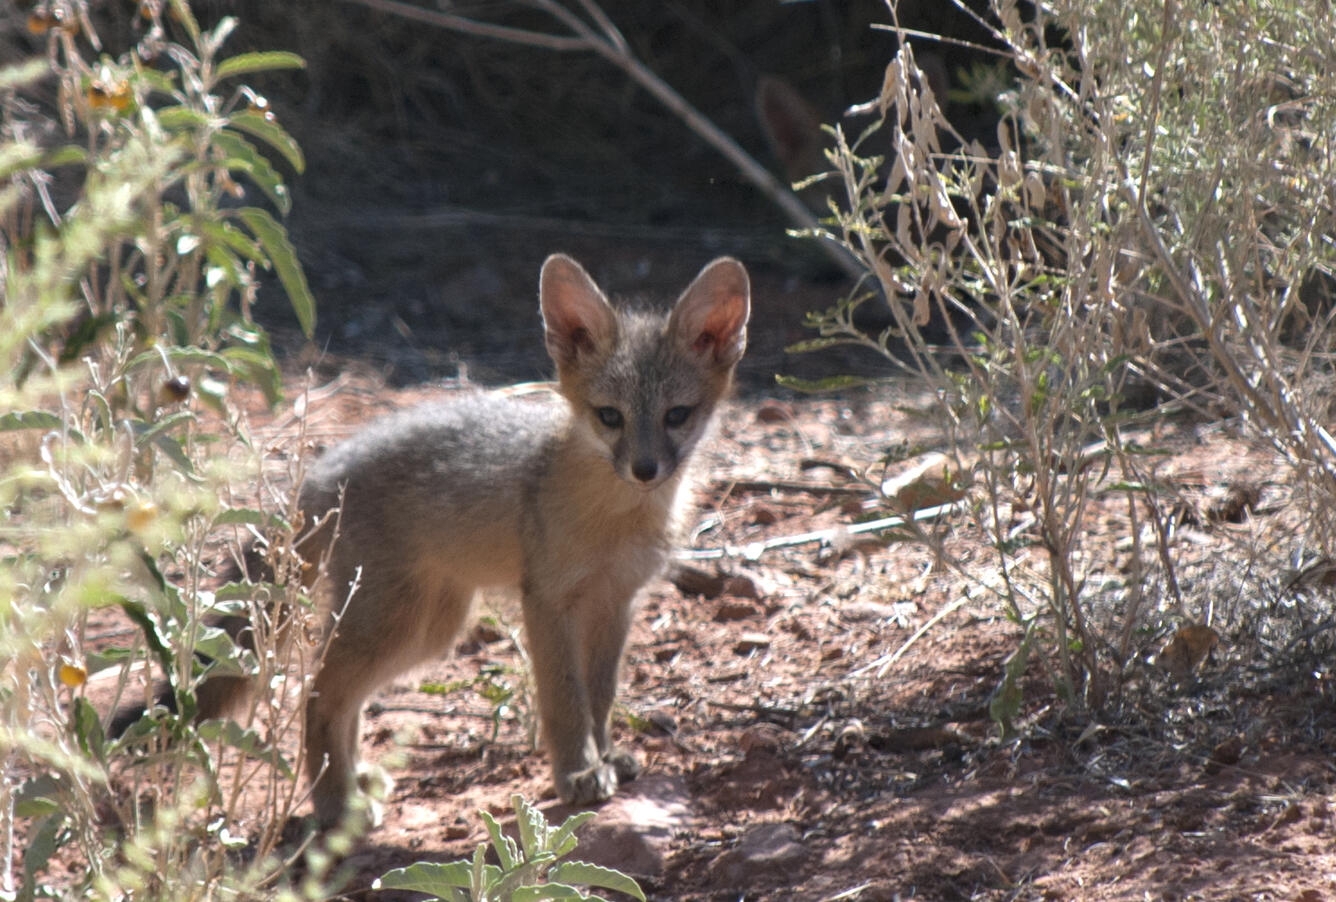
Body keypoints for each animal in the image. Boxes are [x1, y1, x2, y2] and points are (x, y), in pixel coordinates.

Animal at [118, 253, 750, 829]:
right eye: (609, 417)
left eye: (677, 415)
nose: (645, 469)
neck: (617, 519)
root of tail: (323, 471)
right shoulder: (547, 601)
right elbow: (564, 701)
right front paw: (578, 772)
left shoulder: (615, 603)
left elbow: (600, 696)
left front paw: (607, 756)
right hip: (395, 625)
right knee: (316, 695)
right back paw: (336, 806)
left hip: (427, 629)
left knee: (341, 700)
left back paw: (354, 783)